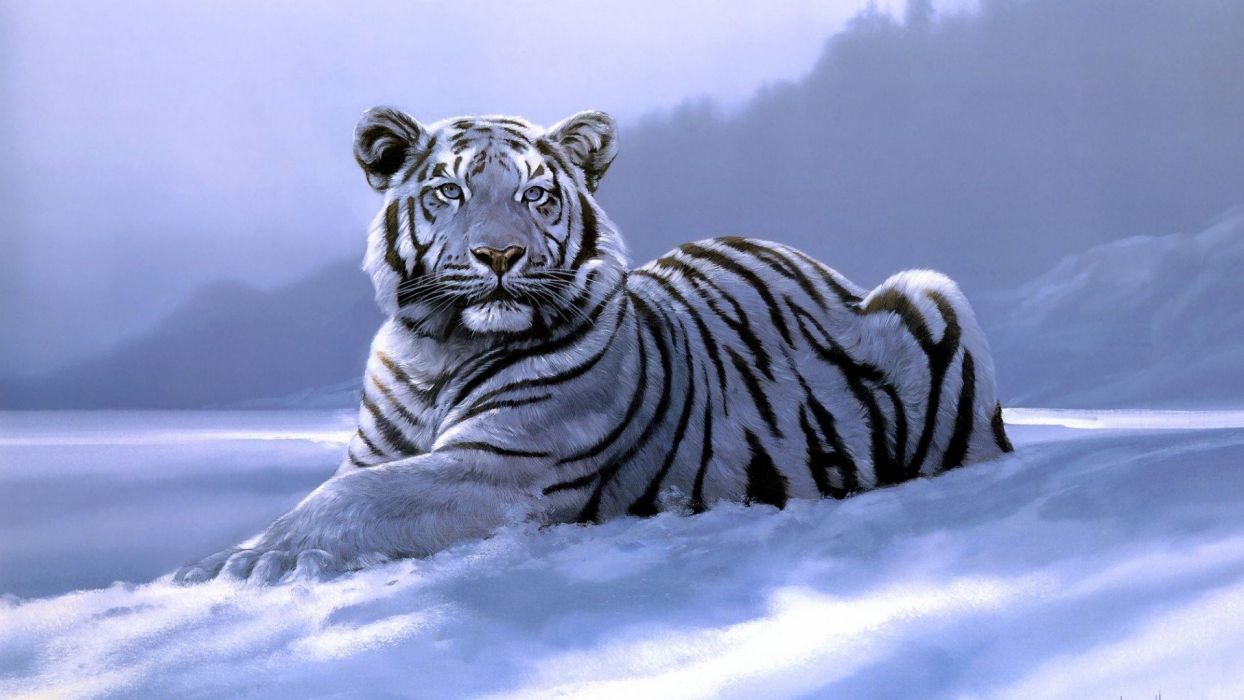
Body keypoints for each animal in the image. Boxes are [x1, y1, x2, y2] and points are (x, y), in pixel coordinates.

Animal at [175, 107, 1013, 585]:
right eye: (449, 191)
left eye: (536, 195)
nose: (499, 255)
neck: (437, 349)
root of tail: (821, 265)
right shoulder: (377, 451)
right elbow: (341, 486)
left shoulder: (502, 465)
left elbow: (350, 499)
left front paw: (245, 560)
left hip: (933, 292)